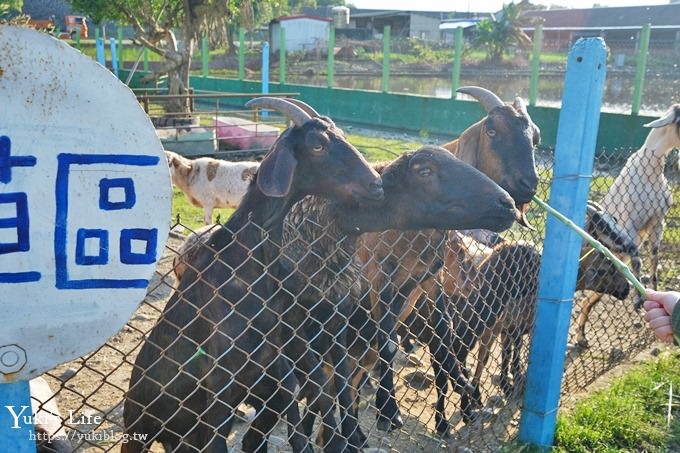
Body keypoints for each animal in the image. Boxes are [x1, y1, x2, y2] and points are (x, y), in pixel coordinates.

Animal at [121, 99, 382, 452]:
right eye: (317, 145)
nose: (376, 185)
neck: (247, 267)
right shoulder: (221, 379)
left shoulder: (278, 358)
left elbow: (300, 411)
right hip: (139, 429)